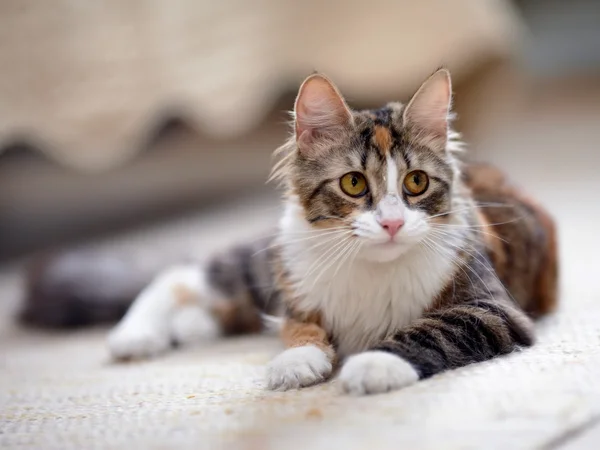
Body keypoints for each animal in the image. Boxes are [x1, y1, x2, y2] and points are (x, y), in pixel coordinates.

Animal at [23, 68, 556, 396]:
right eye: (354, 183)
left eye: (416, 183)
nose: (391, 222)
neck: (371, 272)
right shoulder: (296, 296)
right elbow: (298, 327)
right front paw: (297, 361)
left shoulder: (492, 308)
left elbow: (431, 330)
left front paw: (374, 364)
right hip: (267, 261)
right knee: (179, 273)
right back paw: (135, 337)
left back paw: (190, 328)